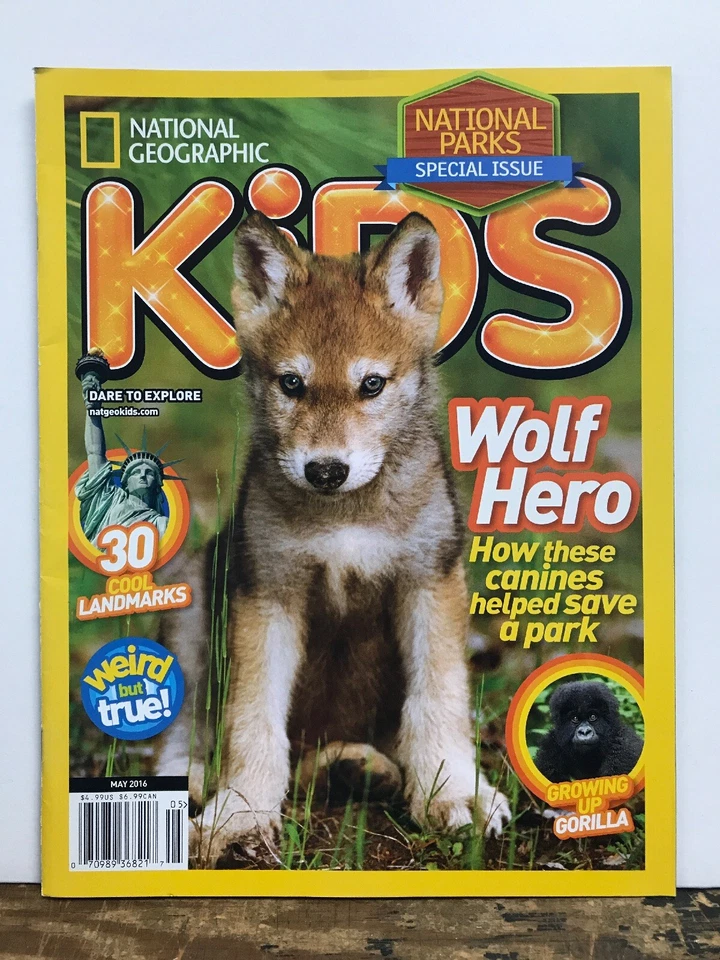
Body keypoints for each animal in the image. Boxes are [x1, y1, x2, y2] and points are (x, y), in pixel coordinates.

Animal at [156, 210, 510, 865]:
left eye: (371, 385)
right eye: (292, 384)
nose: (325, 470)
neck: (346, 516)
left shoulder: (429, 582)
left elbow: (438, 702)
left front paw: (453, 792)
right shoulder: (268, 595)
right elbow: (252, 720)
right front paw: (241, 813)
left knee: (328, 756)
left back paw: (365, 768)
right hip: (190, 596)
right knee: (193, 725)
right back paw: (192, 778)